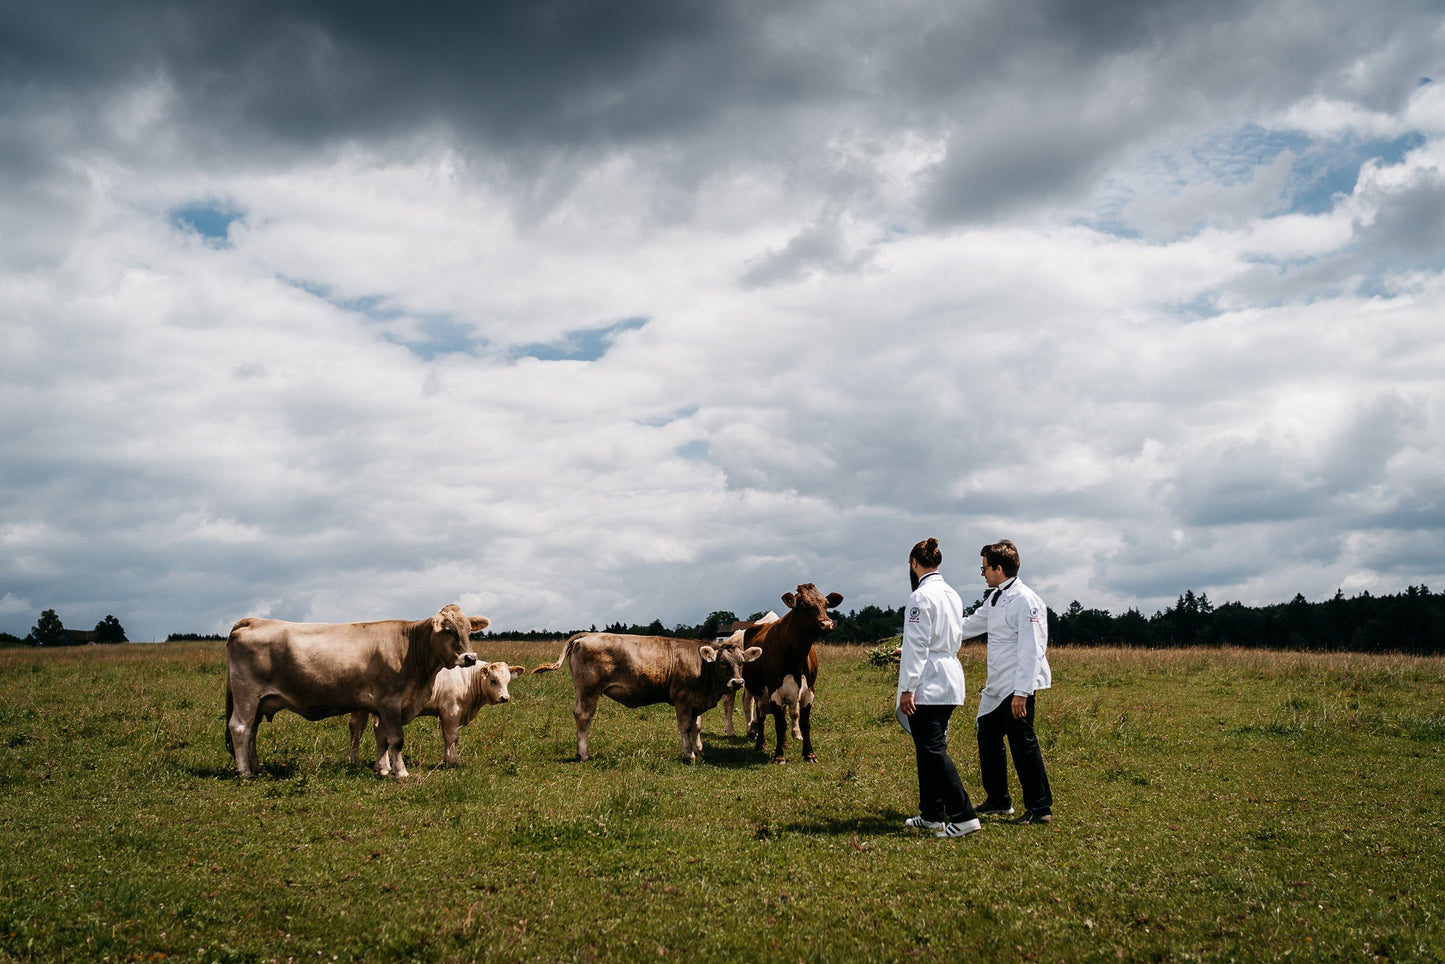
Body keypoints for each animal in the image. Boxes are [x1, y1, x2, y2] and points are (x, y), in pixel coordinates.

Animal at [225, 607, 491, 780]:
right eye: (447, 630)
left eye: (469, 630)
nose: (470, 658)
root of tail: (252, 621)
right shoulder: (390, 702)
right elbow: (396, 738)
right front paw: (401, 772)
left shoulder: (380, 706)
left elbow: (382, 737)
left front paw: (382, 769)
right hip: (246, 695)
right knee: (240, 728)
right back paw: (245, 772)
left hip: (259, 701)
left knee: (252, 730)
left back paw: (256, 766)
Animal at [346, 659, 528, 763]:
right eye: (493, 680)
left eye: (508, 680)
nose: (505, 698)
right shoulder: (450, 710)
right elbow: (451, 736)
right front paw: (452, 761)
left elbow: (451, 738)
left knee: (360, 728)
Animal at [537, 633, 768, 763]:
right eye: (722, 662)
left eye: (742, 662)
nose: (737, 682)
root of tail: (584, 637)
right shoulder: (682, 700)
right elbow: (685, 727)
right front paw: (689, 754)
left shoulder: (696, 702)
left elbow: (696, 727)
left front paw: (699, 750)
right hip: (589, 692)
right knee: (584, 717)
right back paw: (583, 754)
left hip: (582, 693)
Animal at [739, 583, 843, 763]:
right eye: (803, 604)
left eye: (826, 604)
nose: (827, 624)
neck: (797, 657)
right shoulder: (774, 691)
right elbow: (780, 724)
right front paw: (779, 756)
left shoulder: (809, 691)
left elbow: (804, 723)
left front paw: (809, 754)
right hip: (759, 691)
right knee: (761, 716)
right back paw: (761, 744)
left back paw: (785, 743)